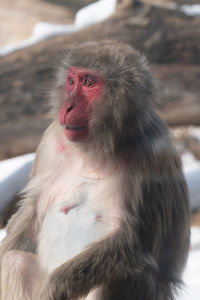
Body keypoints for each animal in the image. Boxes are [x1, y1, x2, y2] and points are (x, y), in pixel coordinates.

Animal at [0, 40, 191, 300]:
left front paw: (55, 288)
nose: (67, 107)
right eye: (72, 81)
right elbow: (31, 213)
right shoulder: (51, 142)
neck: (95, 148)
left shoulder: (152, 157)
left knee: (126, 274)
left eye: (89, 83)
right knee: (15, 262)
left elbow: (134, 243)